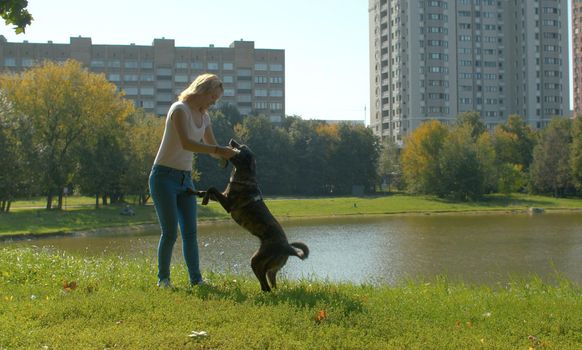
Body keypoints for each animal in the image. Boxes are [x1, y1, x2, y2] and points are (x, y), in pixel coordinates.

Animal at [194, 139, 310, 292]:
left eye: (243, 148)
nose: (232, 140)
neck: (242, 176)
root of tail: (288, 248)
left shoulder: (228, 204)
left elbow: (212, 188)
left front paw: (204, 199)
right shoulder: (224, 195)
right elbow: (210, 190)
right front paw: (200, 194)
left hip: (257, 261)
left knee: (265, 284)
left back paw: (263, 292)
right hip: (272, 268)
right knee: (271, 283)